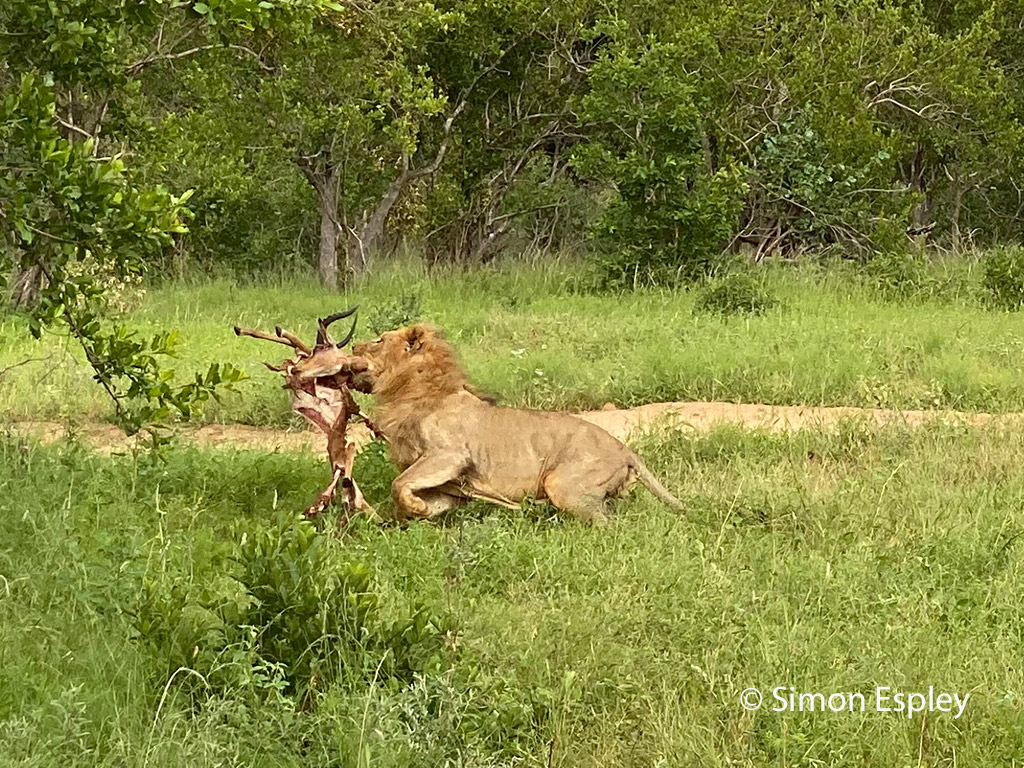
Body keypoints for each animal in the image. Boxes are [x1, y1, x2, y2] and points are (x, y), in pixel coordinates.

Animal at [296, 321, 679, 528]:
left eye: (378, 341)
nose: (355, 346)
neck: (415, 391)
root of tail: (625, 449)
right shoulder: (451, 486)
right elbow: (416, 495)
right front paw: (418, 512)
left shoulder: (449, 455)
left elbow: (398, 483)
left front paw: (413, 509)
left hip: (561, 483)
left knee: (607, 524)